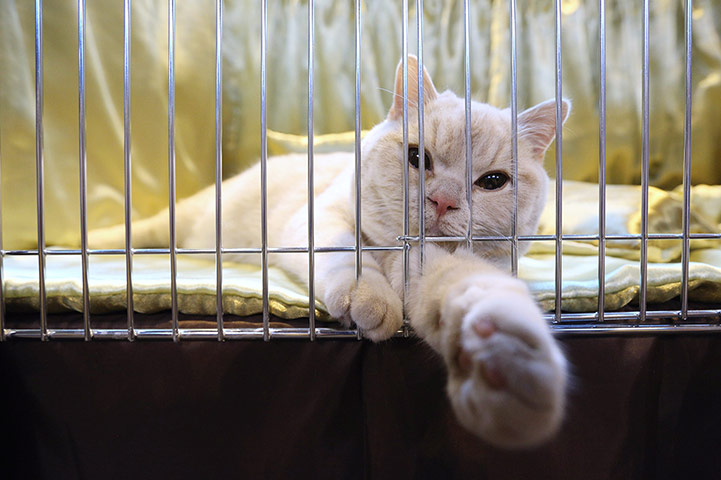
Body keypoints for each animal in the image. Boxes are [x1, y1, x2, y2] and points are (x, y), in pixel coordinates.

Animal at [90, 56, 568, 450]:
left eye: (492, 182)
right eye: (418, 158)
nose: (443, 201)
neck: (395, 254)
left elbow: (465, 292)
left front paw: (504, 357)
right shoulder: (321, 218)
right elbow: (346, 256)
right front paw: (367, 298)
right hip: (186, 218)